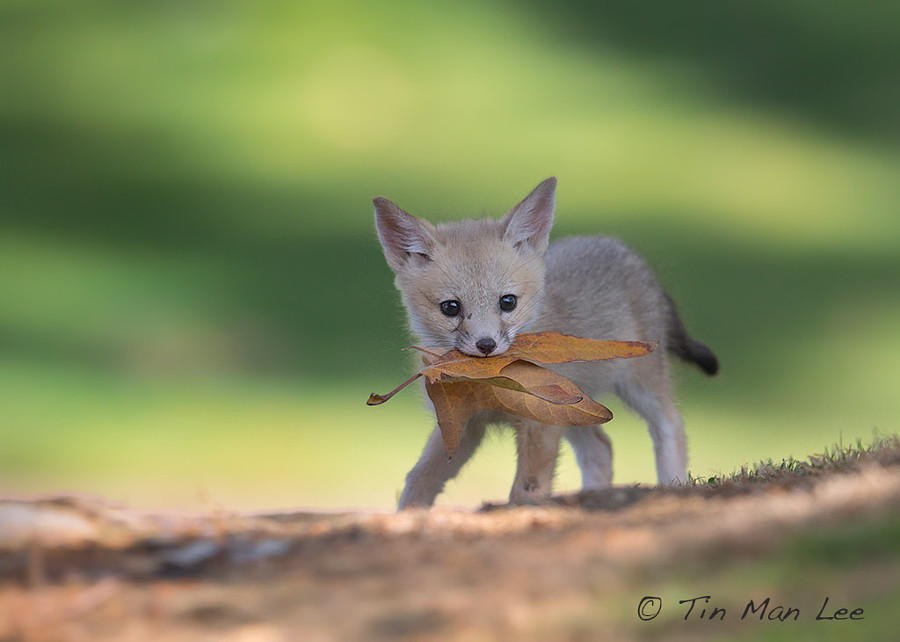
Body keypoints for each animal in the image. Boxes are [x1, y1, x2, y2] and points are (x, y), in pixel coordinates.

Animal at [372, 176, 716, 504]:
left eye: (507, 302)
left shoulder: (540, 425)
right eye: (450, 308)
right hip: (579, 407)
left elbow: (526, 491)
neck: (490, 385)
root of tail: (623, 250)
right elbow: (418, 479)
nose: (486, 345)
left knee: (671, 427)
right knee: (601, 449)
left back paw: (672, 485)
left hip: (639, 385)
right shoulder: (463, 425)